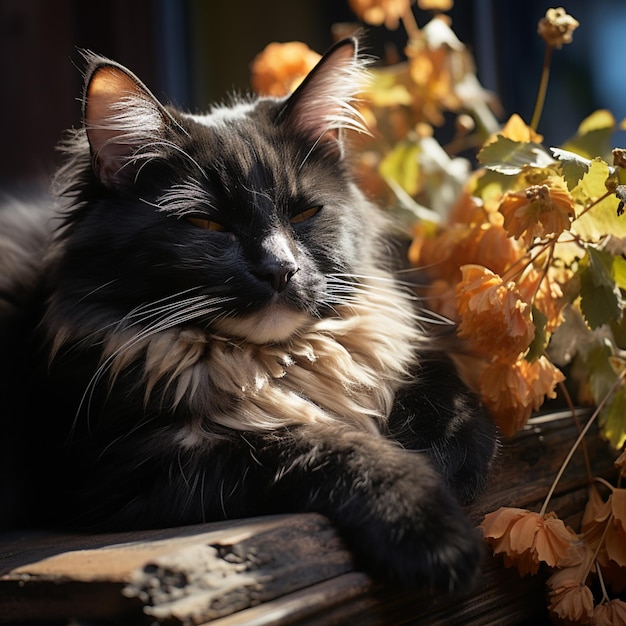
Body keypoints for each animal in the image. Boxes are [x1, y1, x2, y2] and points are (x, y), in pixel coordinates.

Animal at [0, 39, 498, 588]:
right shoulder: (130, 470)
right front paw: (428, 526)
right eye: (207, 224)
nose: (281, 269)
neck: (272, 365)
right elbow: (323, 446)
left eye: (304, 214)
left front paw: (444, 460)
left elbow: (456, 398)